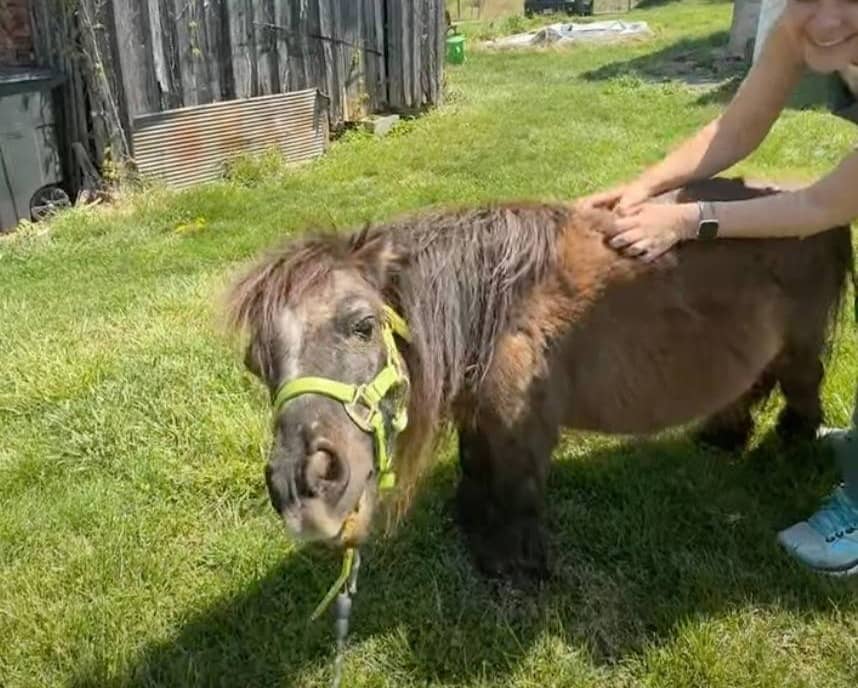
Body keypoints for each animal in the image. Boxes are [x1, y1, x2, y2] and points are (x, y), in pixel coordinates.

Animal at [225, 178, 852, 580]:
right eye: (256, 363)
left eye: (362, 325)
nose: (302, 484)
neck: (497, 305)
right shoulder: (479, 413)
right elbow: (477, 470)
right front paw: (476, 534)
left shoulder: (520, 425)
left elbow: (516, 488)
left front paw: (518, 566)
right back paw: (725, 436)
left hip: (800, 345)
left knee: (803, 388)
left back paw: (788, 446)